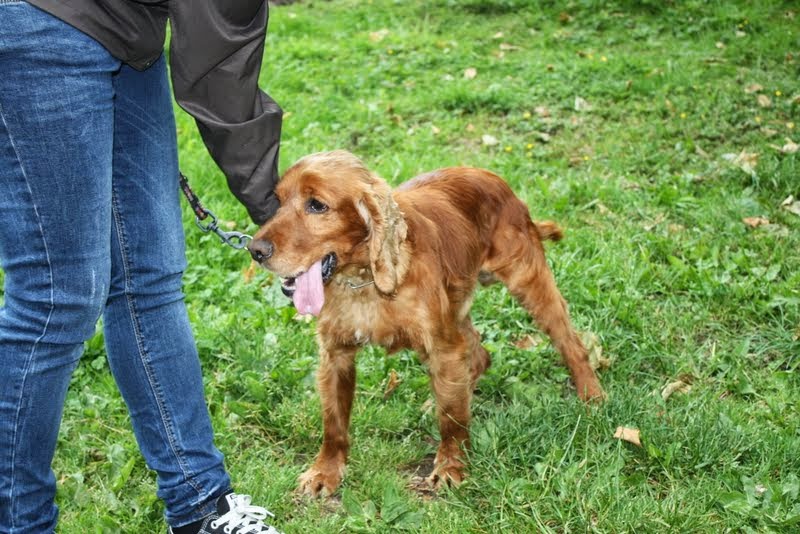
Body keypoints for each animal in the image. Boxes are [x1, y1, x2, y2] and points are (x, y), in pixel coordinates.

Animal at [247, 150, 604, 498]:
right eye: (278, 201)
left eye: (317, 205)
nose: (255, 250)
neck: (364, 281)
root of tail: (492, 177)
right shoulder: (336, 354)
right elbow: (333, 423)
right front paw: (325, 472)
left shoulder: (442, 345)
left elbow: (452, 420)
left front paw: (451, 468)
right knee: (478, 354)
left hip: (527, 280)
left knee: (569, 341)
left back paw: (592, 395)